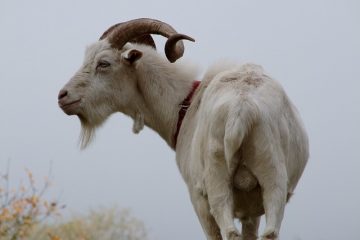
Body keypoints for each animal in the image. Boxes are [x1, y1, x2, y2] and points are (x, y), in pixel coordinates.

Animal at [59, 18, 310, 240]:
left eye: (104, 63)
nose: (63, 96)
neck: (185, 104)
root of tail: (242, 107)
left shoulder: (197, 196)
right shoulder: (251, 209)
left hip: (216, 185)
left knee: (228, 232)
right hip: (272, 179)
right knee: (270, 232)